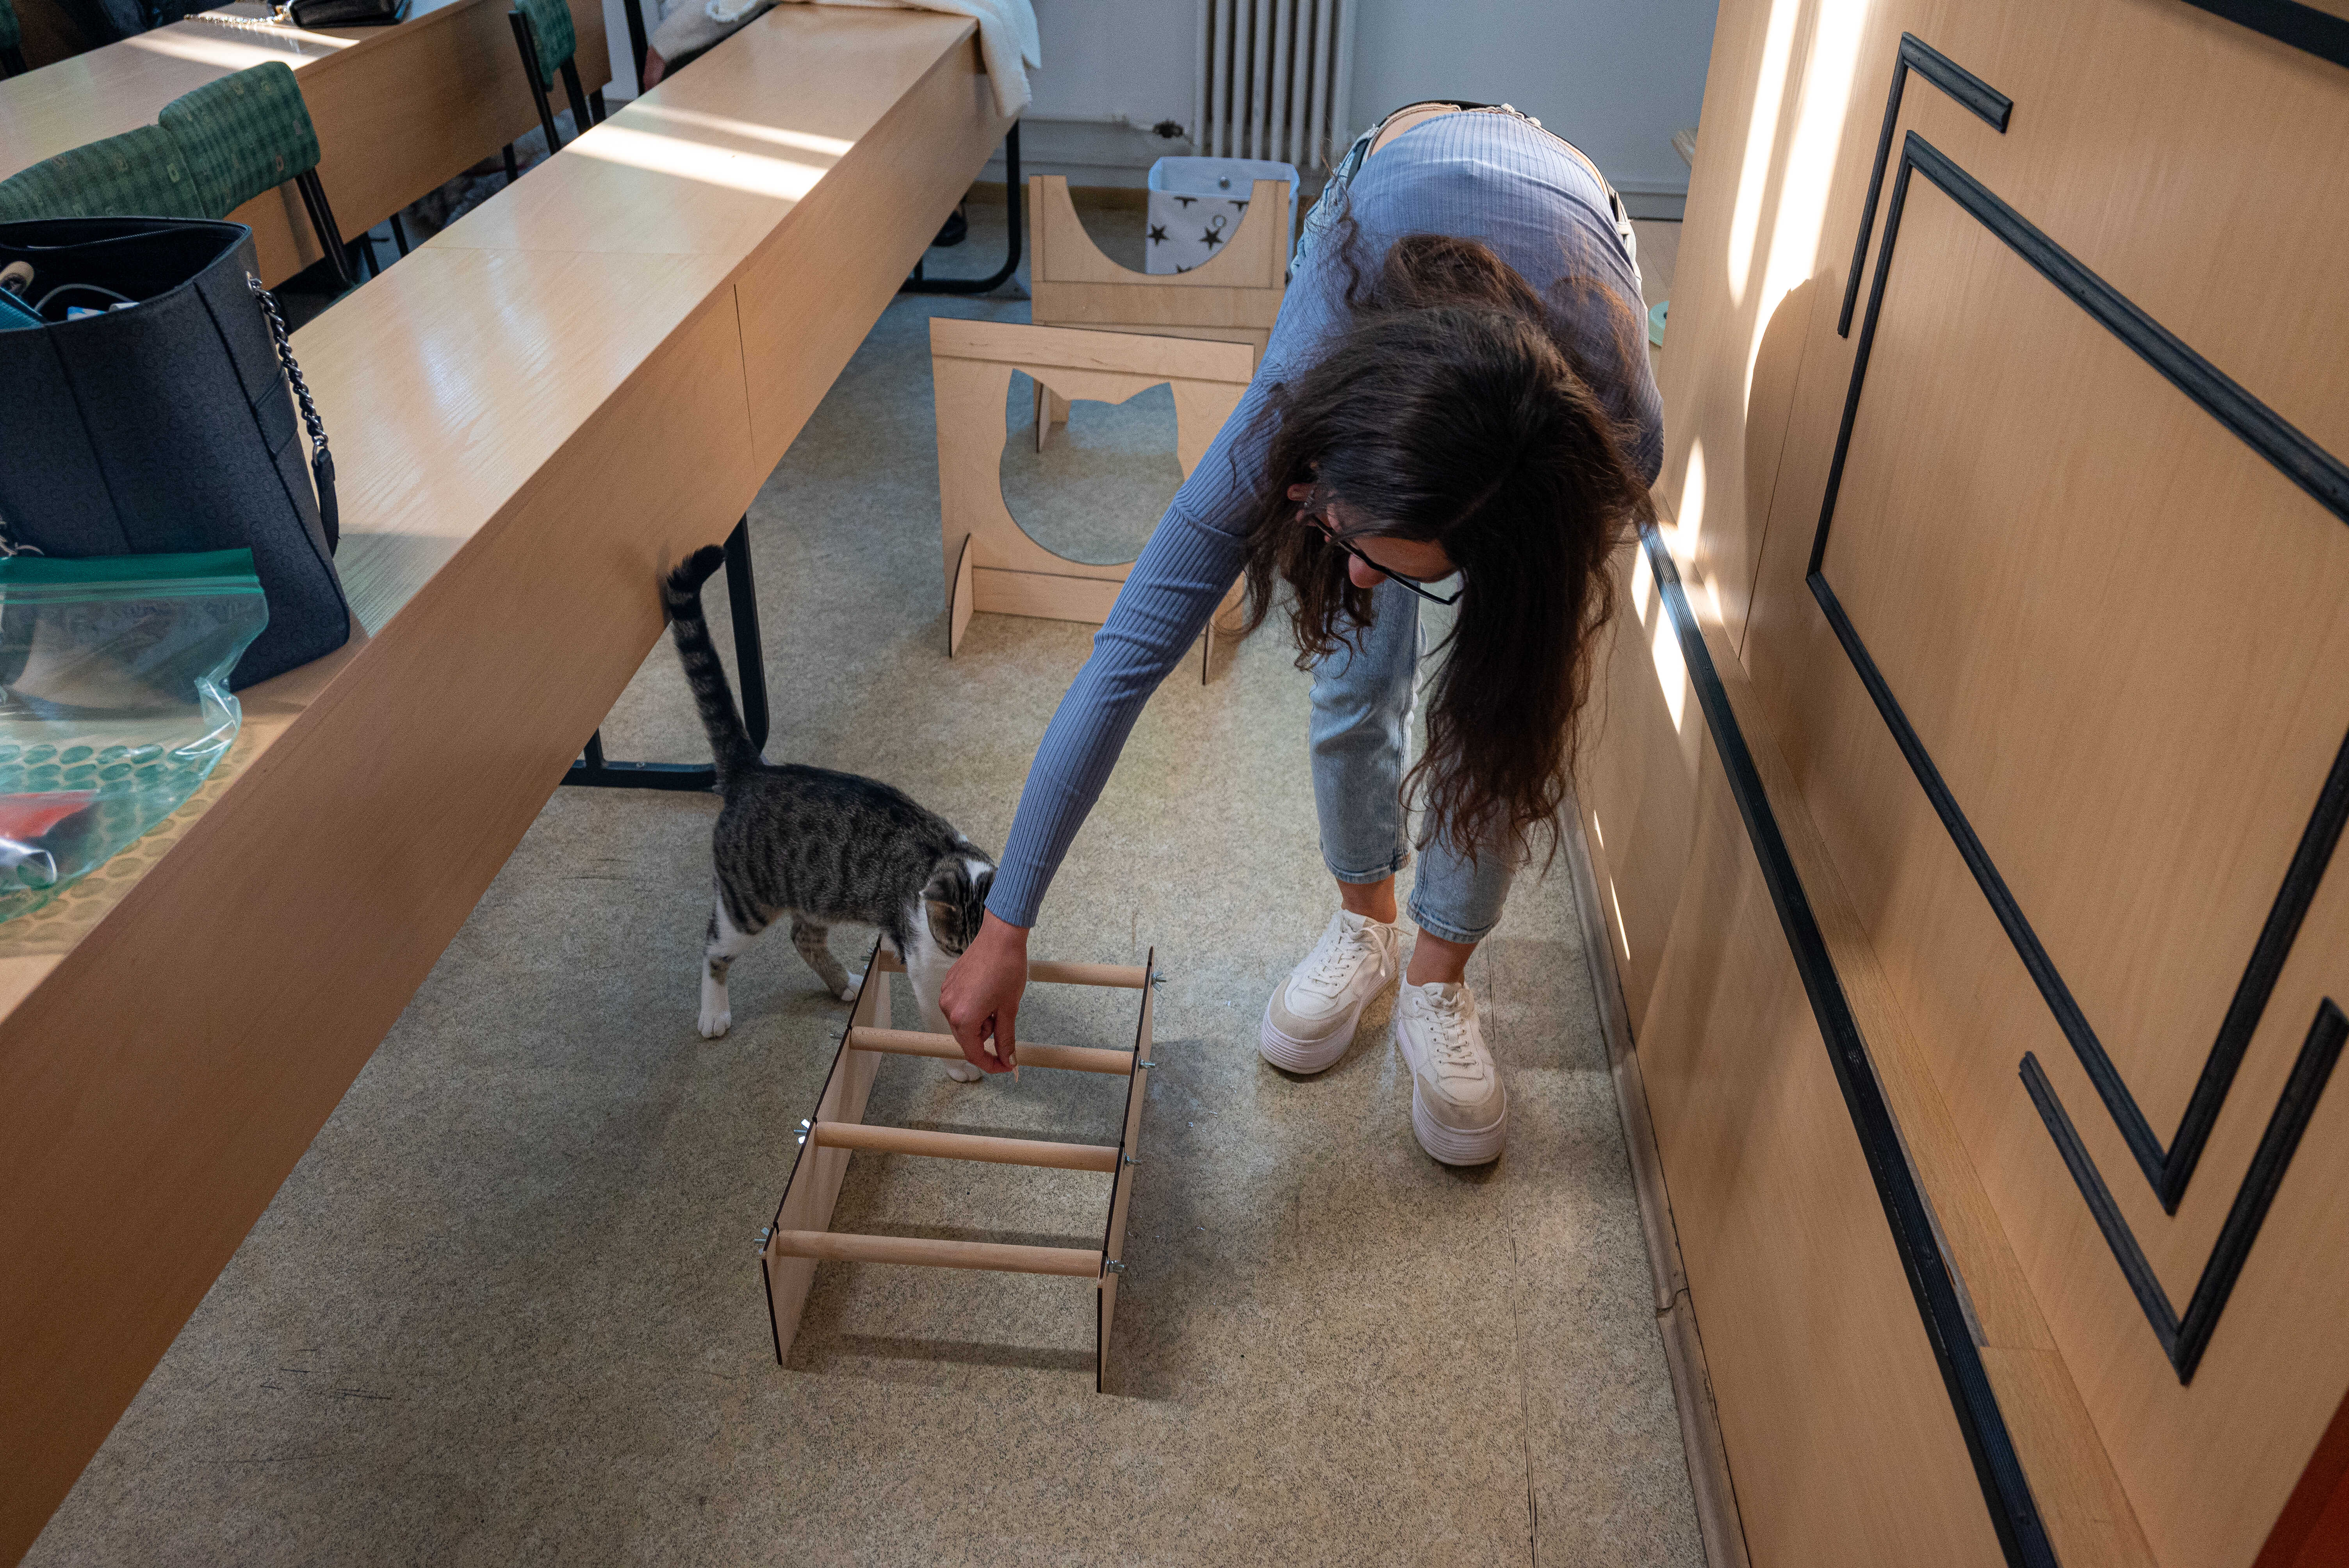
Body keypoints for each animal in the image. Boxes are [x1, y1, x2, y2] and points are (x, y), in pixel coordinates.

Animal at [663, 545, 997, 1080]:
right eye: (954, 947)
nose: (965, 969)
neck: (947, 855)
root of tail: (751, 772)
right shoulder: (925, 969)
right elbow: (940, 1021)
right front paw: (962, 1062)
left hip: (814, 896)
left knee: (803, 937)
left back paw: (843, 983)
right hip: (746, 903)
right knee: (715, 946)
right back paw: (714, 1012)